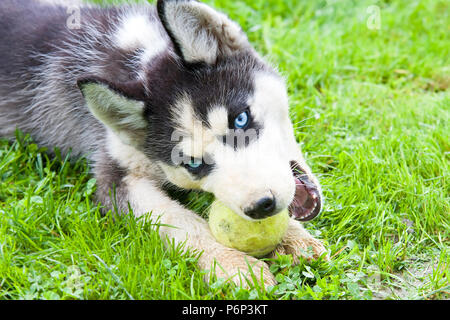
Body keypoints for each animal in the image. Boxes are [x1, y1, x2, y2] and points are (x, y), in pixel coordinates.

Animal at [0, 0, 326, 284]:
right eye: (193, 164)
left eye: (240, 120)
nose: (261, 206)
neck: (138, 57)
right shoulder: (114, 175)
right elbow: (179, 221)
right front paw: (232, 264)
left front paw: (293, 237)